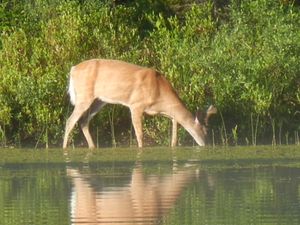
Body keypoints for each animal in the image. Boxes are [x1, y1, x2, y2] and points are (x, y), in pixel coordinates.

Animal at [63, 59, 217, 149]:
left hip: (99, 101)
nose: (207, 144)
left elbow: (174, 132)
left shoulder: (165, 112)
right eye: (205, 130)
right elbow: (139, 134)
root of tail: (73, 69)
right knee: (70, 121)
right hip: (84, 97)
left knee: (83, 121)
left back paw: (92, 147)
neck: (159, 91)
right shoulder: (136, 105)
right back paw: (64, 149)